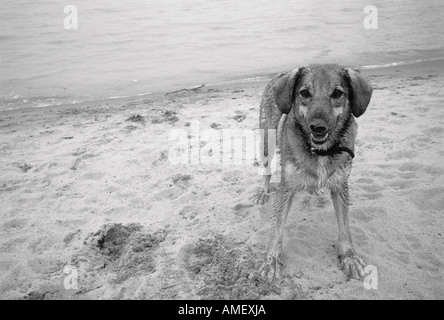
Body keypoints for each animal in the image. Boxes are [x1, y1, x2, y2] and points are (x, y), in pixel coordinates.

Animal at [255, 64, 372, 280]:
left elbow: (345, 227)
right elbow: (277, 227)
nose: (317, 127)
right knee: (266, 168)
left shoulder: (341, 185)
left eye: (337, 93)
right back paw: (263, 191)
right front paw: (271, 261)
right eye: (304, 93)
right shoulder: (286, 187)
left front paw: (349, 257)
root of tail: (279, 75)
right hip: (268, 138)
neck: (320, 151)